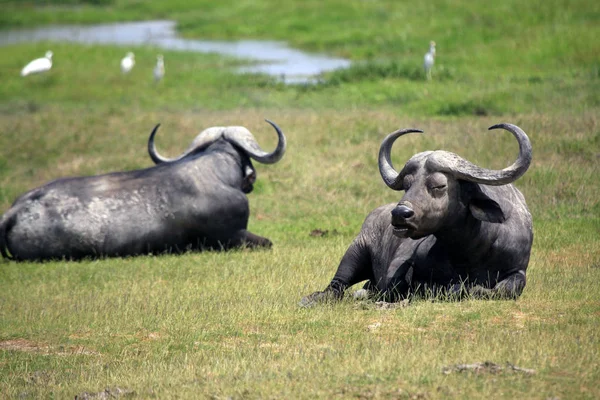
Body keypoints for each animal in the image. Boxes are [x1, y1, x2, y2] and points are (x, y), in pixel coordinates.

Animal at [302, 122, 532, 306]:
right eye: (407, 185)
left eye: (439, 185)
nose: (399, 213)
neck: (469, 251)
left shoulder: (518, 269)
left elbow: (504, 289)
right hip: (357, 248)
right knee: (338, 284)